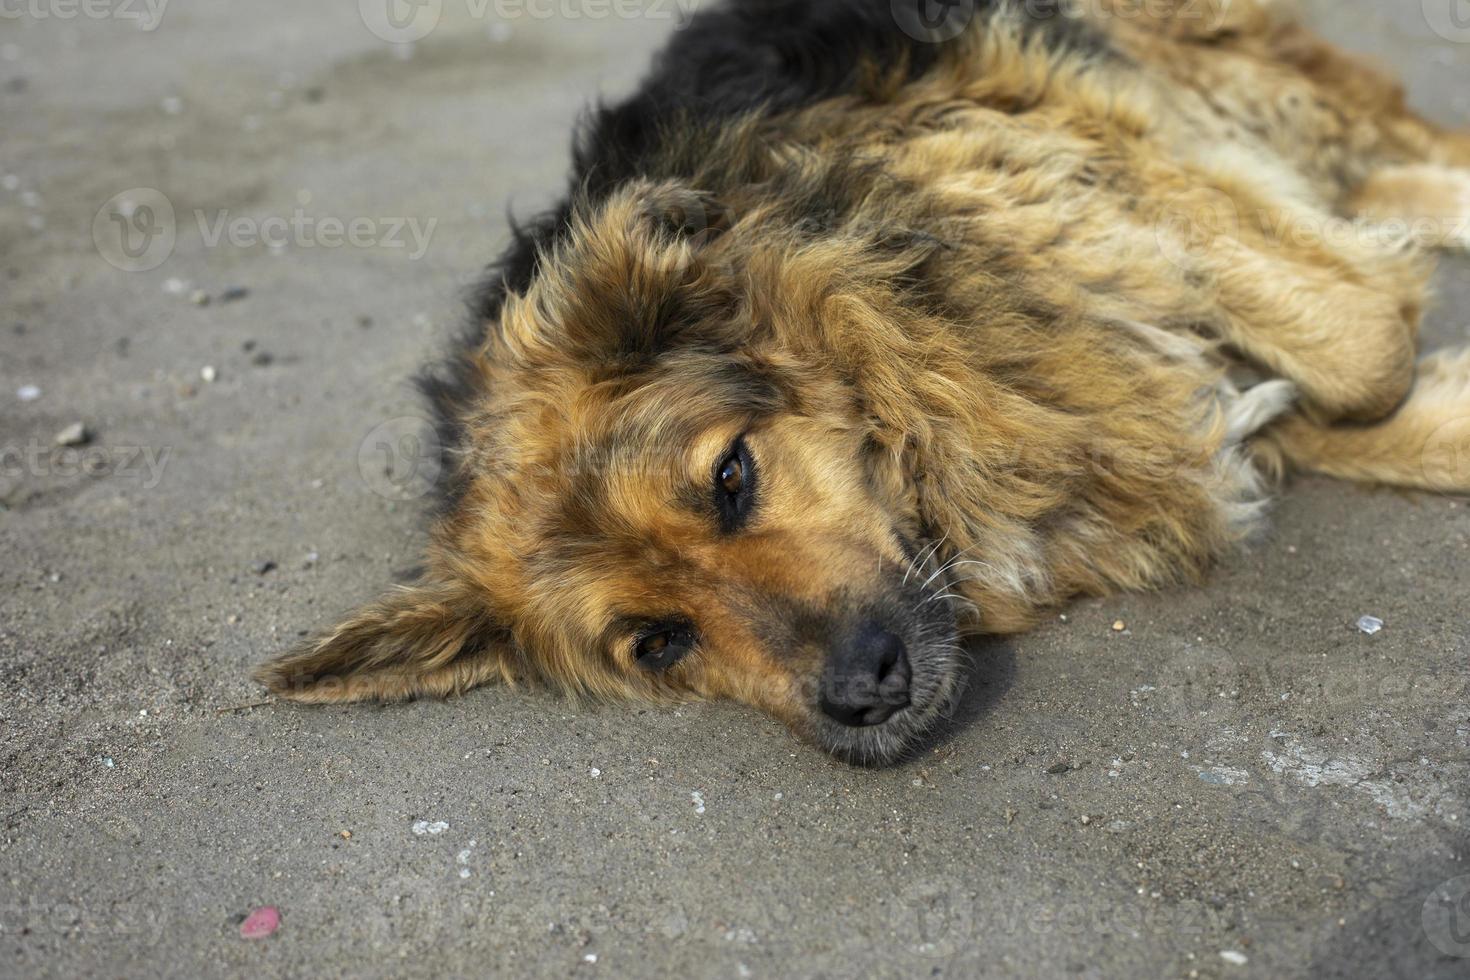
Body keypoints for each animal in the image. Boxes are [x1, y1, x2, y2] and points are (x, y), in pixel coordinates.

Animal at [255, 0, 1470, 764]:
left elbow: (1363, 346)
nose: (862, 690)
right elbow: (1327, 393)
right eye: (658, 641)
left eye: (730, 478)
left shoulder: (1067, 156)